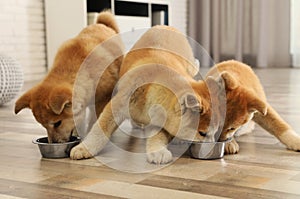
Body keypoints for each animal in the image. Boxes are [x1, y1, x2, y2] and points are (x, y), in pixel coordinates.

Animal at [13, 10, 124, 143]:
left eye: (57, 123)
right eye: (43, 126)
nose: (53, 143)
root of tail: (101, 24)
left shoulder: (103, 98)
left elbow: (96, 119)